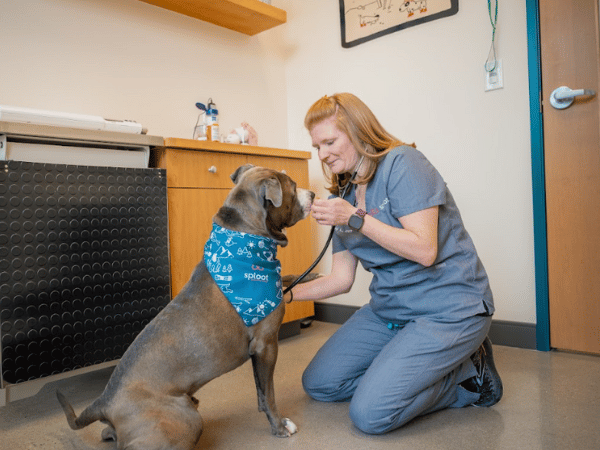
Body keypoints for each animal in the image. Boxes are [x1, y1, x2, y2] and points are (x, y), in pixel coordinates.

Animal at [57, 165, 314, 450]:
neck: (246, 239)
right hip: (185, 419)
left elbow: (261, 390)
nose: (314, 194)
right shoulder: (266, 345)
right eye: (292, 185)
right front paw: (279, 426)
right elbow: (268, 394)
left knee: (108, 435)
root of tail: (104, 401)